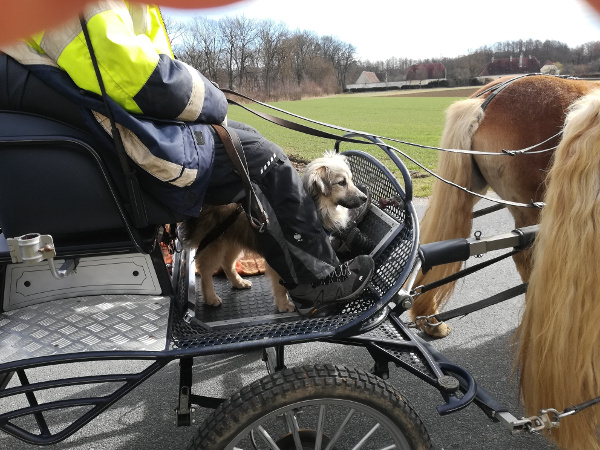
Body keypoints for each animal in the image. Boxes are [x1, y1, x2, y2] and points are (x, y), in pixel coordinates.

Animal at [180, 151, 368, 312]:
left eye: (351, 180)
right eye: (342, 182)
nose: (365, 198)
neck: (317, 206)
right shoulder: (283, 256)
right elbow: (281, 284)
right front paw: (283, 304)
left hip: (234, 239)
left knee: (227, 264)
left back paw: (239, 282)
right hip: (215, 243)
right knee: (206, 271)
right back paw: (211, 297)